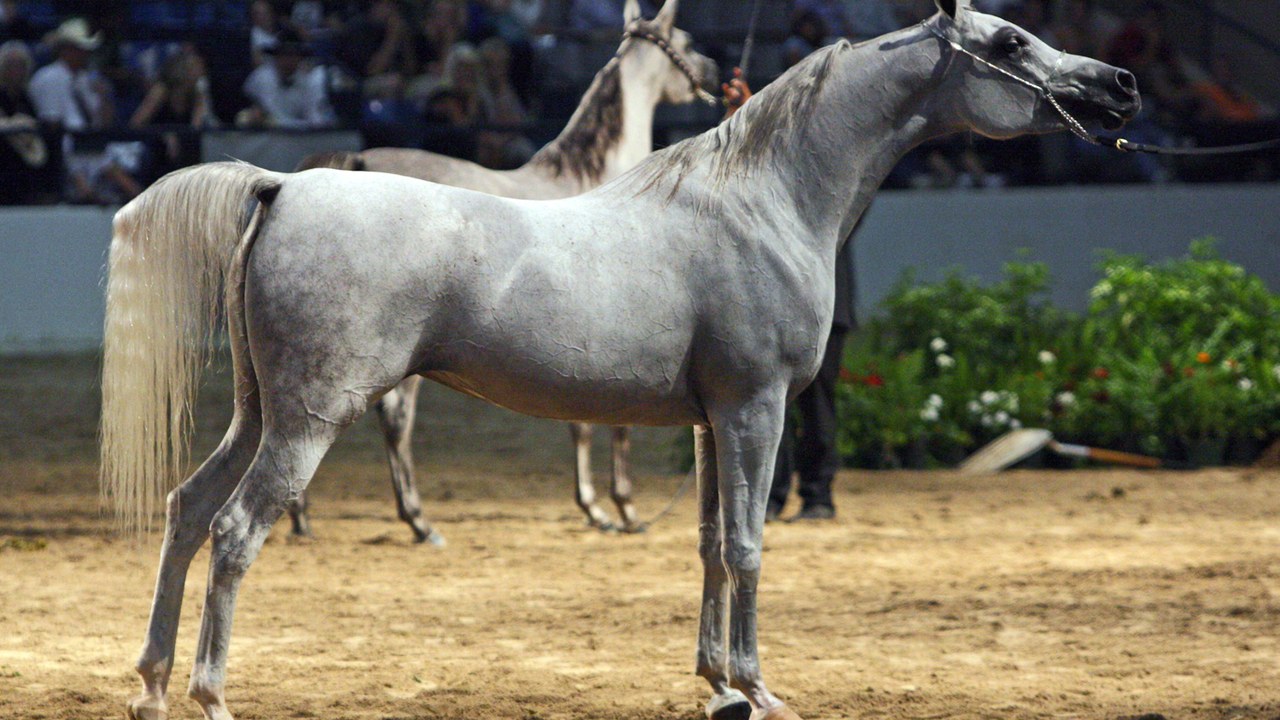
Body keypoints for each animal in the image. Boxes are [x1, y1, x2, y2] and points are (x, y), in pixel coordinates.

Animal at [289, 0, 717, 542]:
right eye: (685, 41)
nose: (714, 72)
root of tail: (357, 160)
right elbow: (610, 423)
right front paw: (617, 509)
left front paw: (597, 507)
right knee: (394, 418)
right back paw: (419, 521)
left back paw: (304, 516)